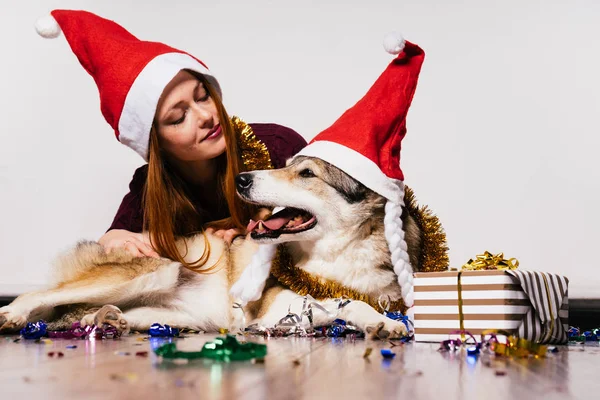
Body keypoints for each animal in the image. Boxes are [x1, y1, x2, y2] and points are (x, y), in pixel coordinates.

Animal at [0, 158, 422, 340]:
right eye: (289, 165)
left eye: (307, 174)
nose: (242, 179)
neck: (339, 254)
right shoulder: (276, 308)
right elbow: (346, 302)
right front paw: (381, 322)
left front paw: (386, 321)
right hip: (155, 270)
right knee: (39, 296)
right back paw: (15, 315)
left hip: (172, 313)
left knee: (90, 314)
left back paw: (105, 320)